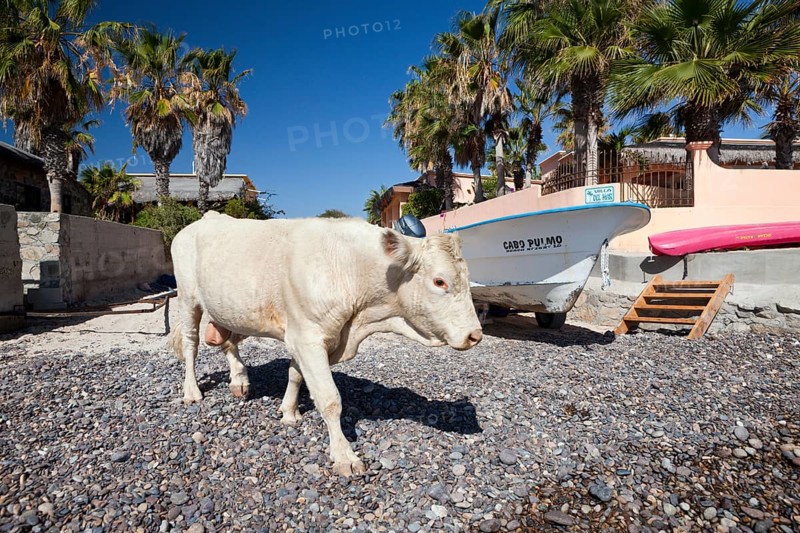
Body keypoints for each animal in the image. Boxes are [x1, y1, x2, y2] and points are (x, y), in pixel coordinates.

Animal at [169, 212, 482, 476]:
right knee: (191, 344)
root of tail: (204, 218)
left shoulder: (304, 336)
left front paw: (289, 412)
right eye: (440, 281)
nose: (475, 335)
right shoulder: (307, 337)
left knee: (229, 342)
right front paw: (344, 456)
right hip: (187, 298)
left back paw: (239, 380)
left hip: (230, 308)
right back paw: (192, 391)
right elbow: (330, 398)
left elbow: (295, 375)